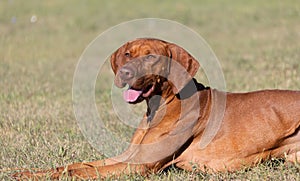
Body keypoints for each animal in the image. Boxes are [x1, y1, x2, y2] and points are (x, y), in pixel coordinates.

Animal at [14, 38, 300, 180]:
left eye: (151, 56)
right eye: (127, 54)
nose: (125, 73)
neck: (160, 105)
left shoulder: (139, 166)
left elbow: (79, 171)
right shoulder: (127, 157)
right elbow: (73, 164)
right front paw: (27, 173)